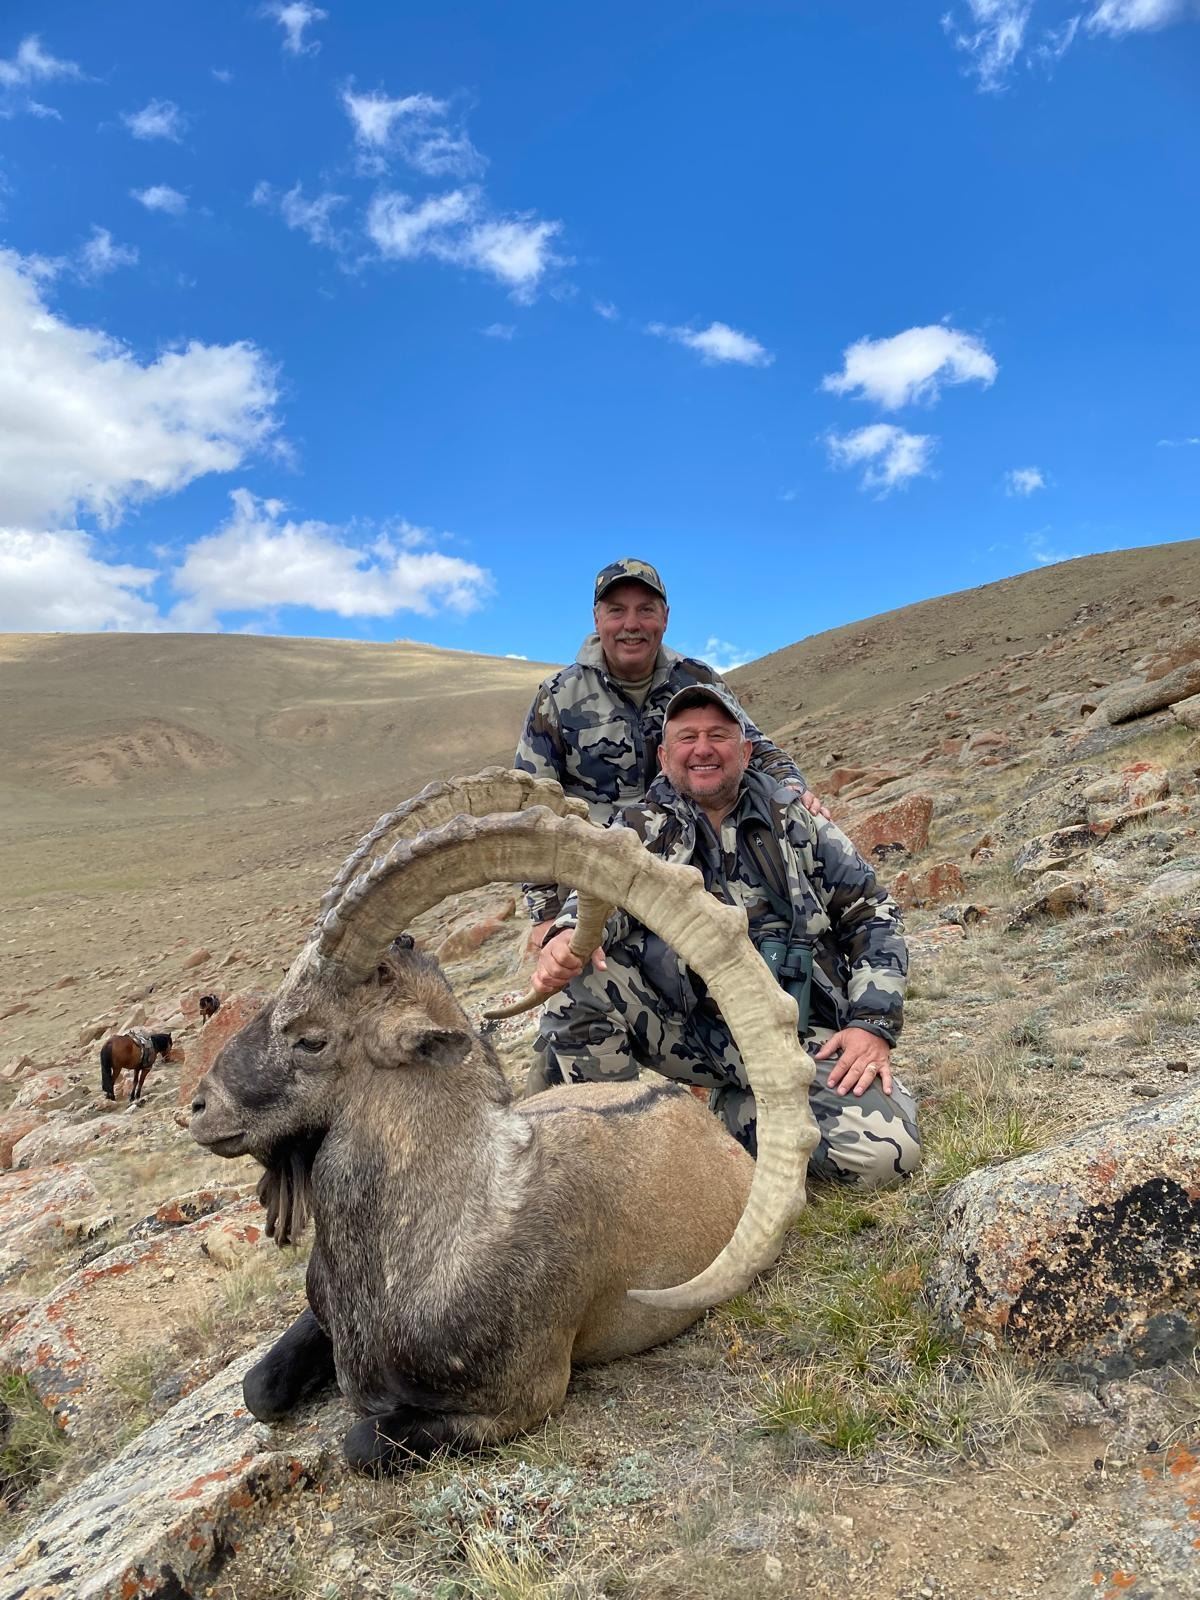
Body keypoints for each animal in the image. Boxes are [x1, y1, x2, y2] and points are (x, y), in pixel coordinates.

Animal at [189, 768, 819, 1475]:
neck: (425, 1247)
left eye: (312, 1040)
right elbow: (257, 1388)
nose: (201, 1108)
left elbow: (359, 1442)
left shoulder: (518, 1399)